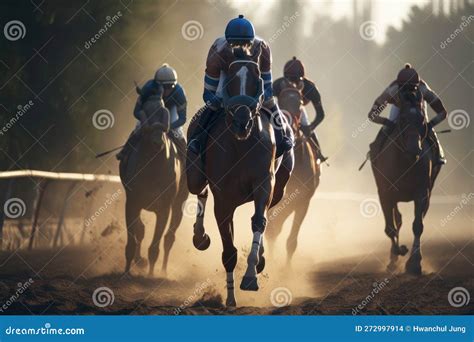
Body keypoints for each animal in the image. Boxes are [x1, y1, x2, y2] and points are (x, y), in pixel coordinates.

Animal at [119, 93, 188, 276]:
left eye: (164, 112)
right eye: (146, 111)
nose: (158, 141)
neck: (152, 167)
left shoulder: (164, 207)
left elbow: (155, 247)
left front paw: (150, 275)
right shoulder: (132, 203)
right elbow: (134, 237)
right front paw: (126, 271)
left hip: (180, 202)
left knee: (169, 238)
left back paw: (163, 271)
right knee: (141, 230)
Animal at [187, 46, 294, 306]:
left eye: (257, 79)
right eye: (230, 80)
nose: (242, 122)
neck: (240, 146)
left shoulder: (264, 184)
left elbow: (259, 221)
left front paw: (250, 276)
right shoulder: (224, 200)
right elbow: (228, 252)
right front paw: (230, 298)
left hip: (279, 188)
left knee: (267, 214)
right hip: (194, 174)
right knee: (199, 190)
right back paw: (200, 237)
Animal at [264, 83, 320, 264]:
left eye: (300, 103)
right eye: (282, 100)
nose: (290, 127)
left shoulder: (304, 199)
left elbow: (291, 241)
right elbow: (273, 226)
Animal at [370, 89, 440, 276]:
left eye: (422, 119)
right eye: (402, 119)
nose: (414, 148)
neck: (405, 162)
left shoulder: (422, 193)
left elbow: (417, 226)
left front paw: (414, 264)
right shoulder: (385, 194)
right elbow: (390, 228)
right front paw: (398, 252)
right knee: (397, 221)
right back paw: (393, 259)